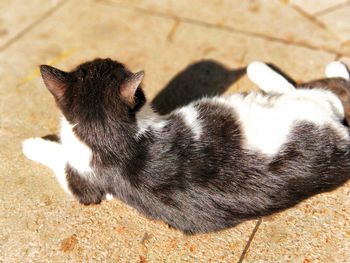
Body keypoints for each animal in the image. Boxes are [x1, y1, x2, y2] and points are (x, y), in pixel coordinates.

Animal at [22, 58, 350, 234]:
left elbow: (61, 158)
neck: (108, 135)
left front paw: (32, 144)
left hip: (314, 106)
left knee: (334, 91)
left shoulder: (84, 185)